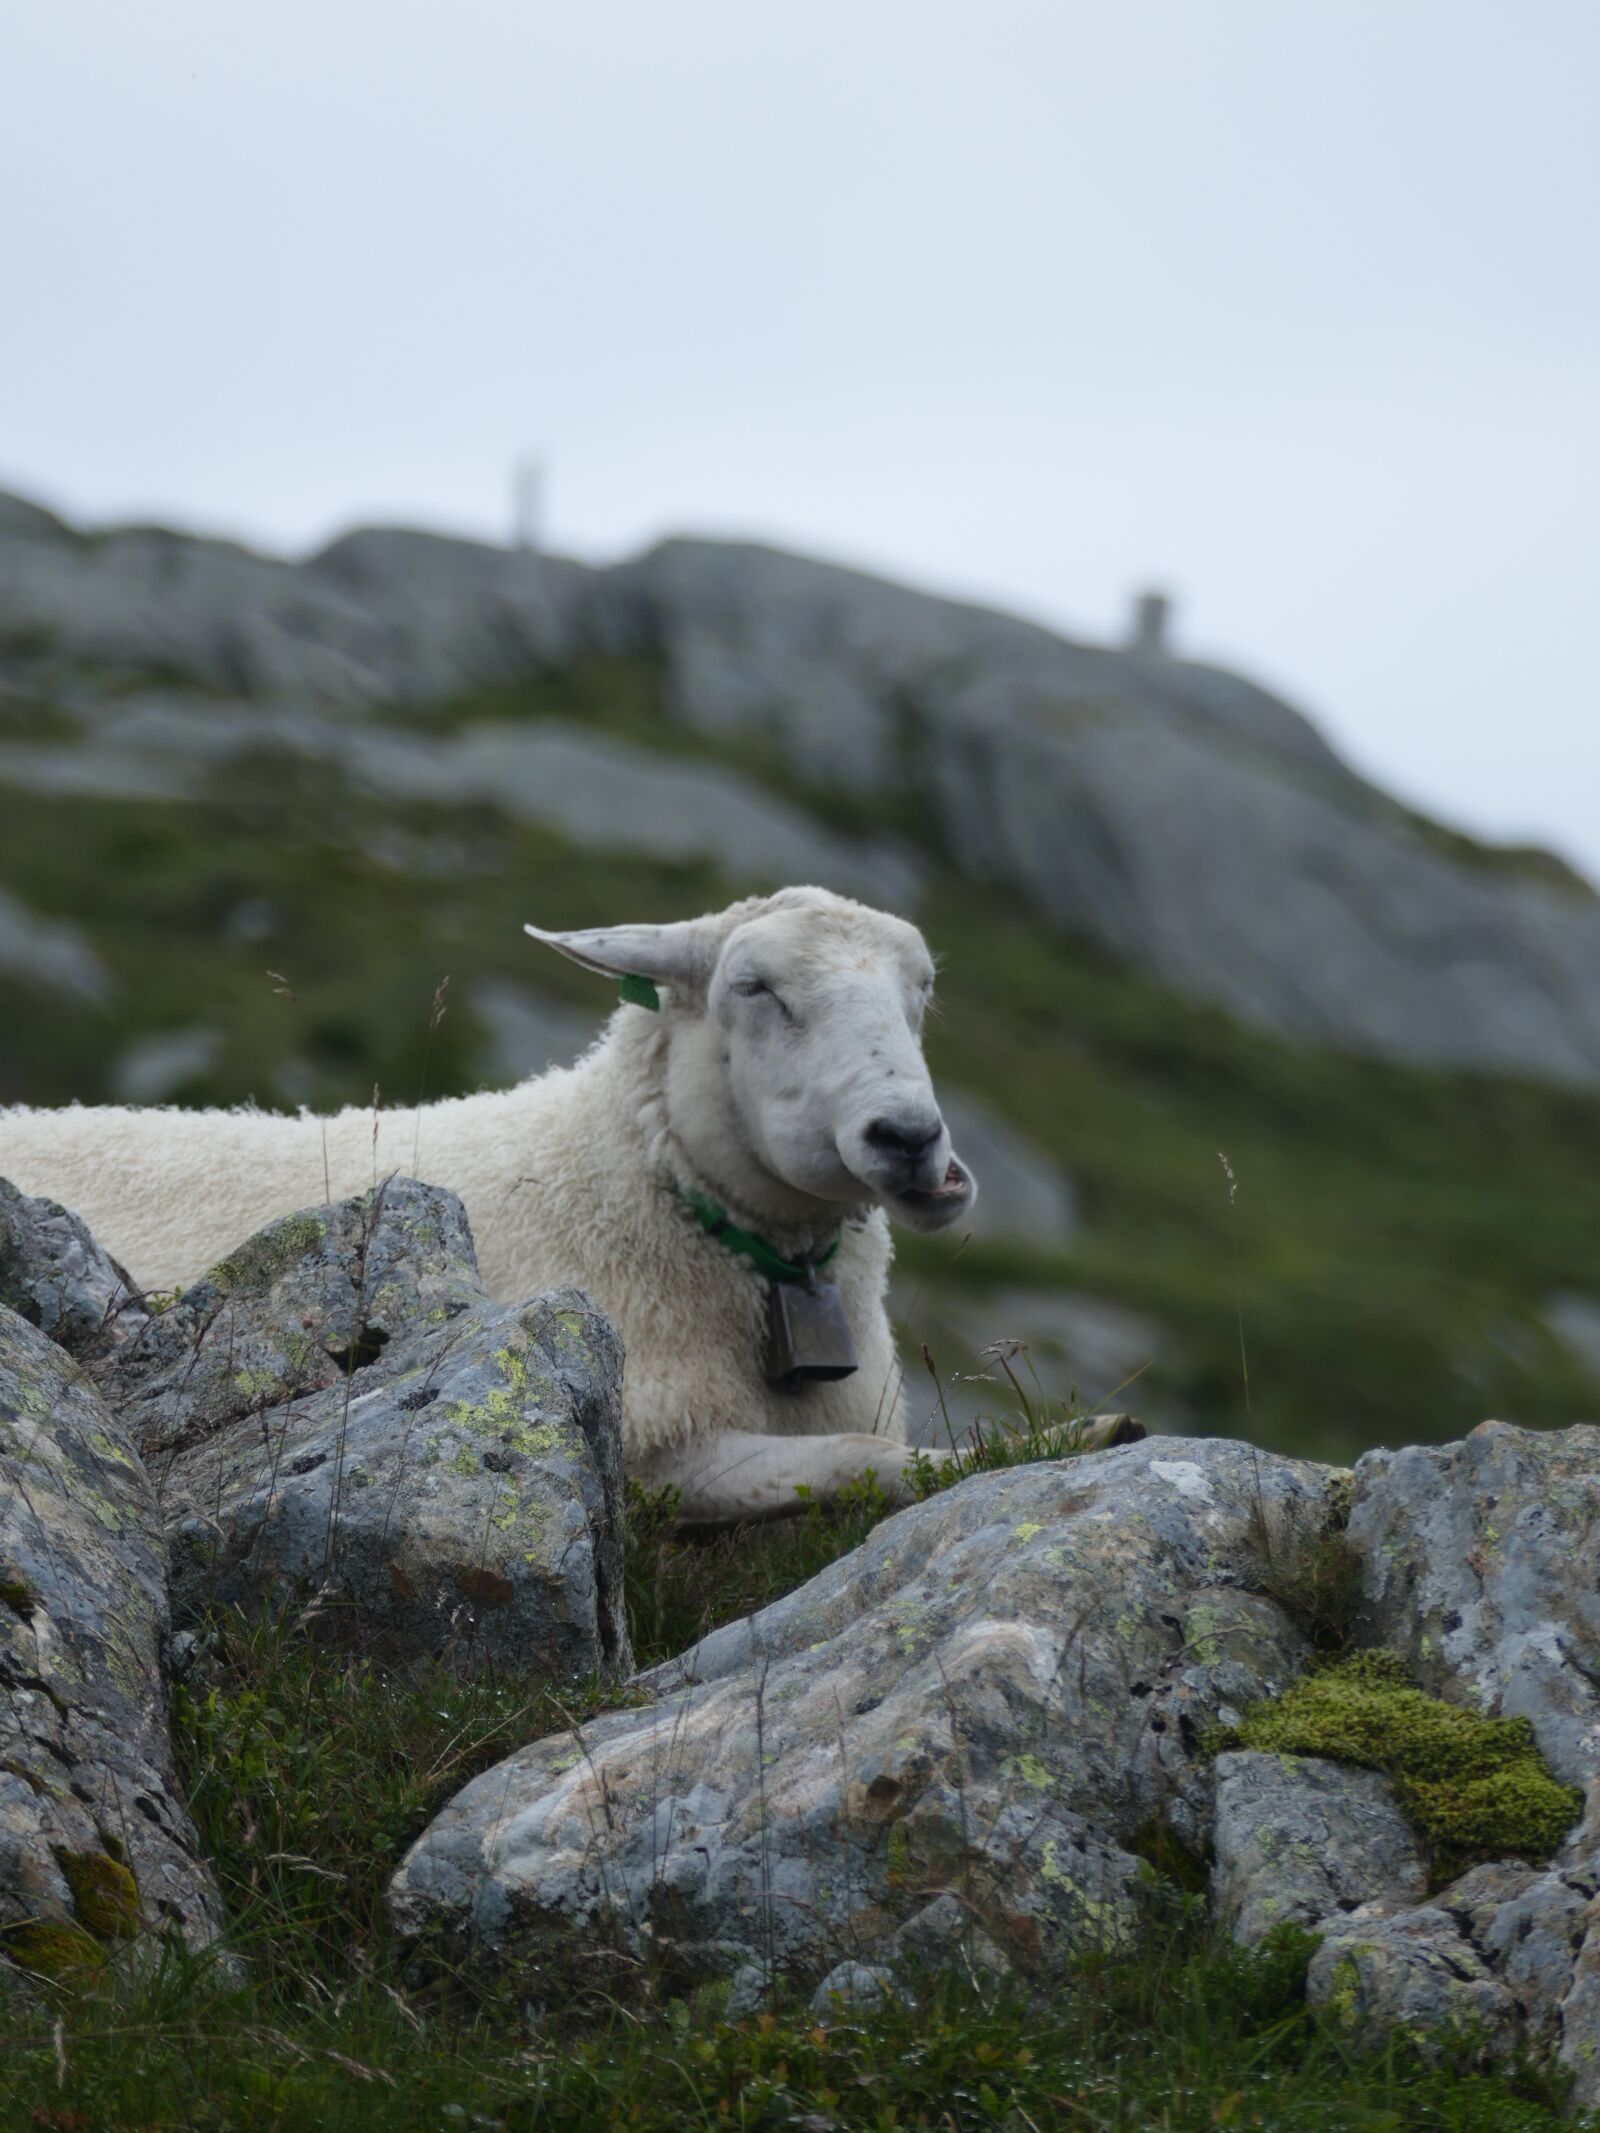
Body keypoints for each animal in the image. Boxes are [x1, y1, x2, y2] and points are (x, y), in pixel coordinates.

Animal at [0, 886, 1136, 1521]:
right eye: (754, 988)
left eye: (922, 986)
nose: (910, 1141)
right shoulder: (649, 1451)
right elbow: (864, 1463)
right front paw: (1074, 1437)